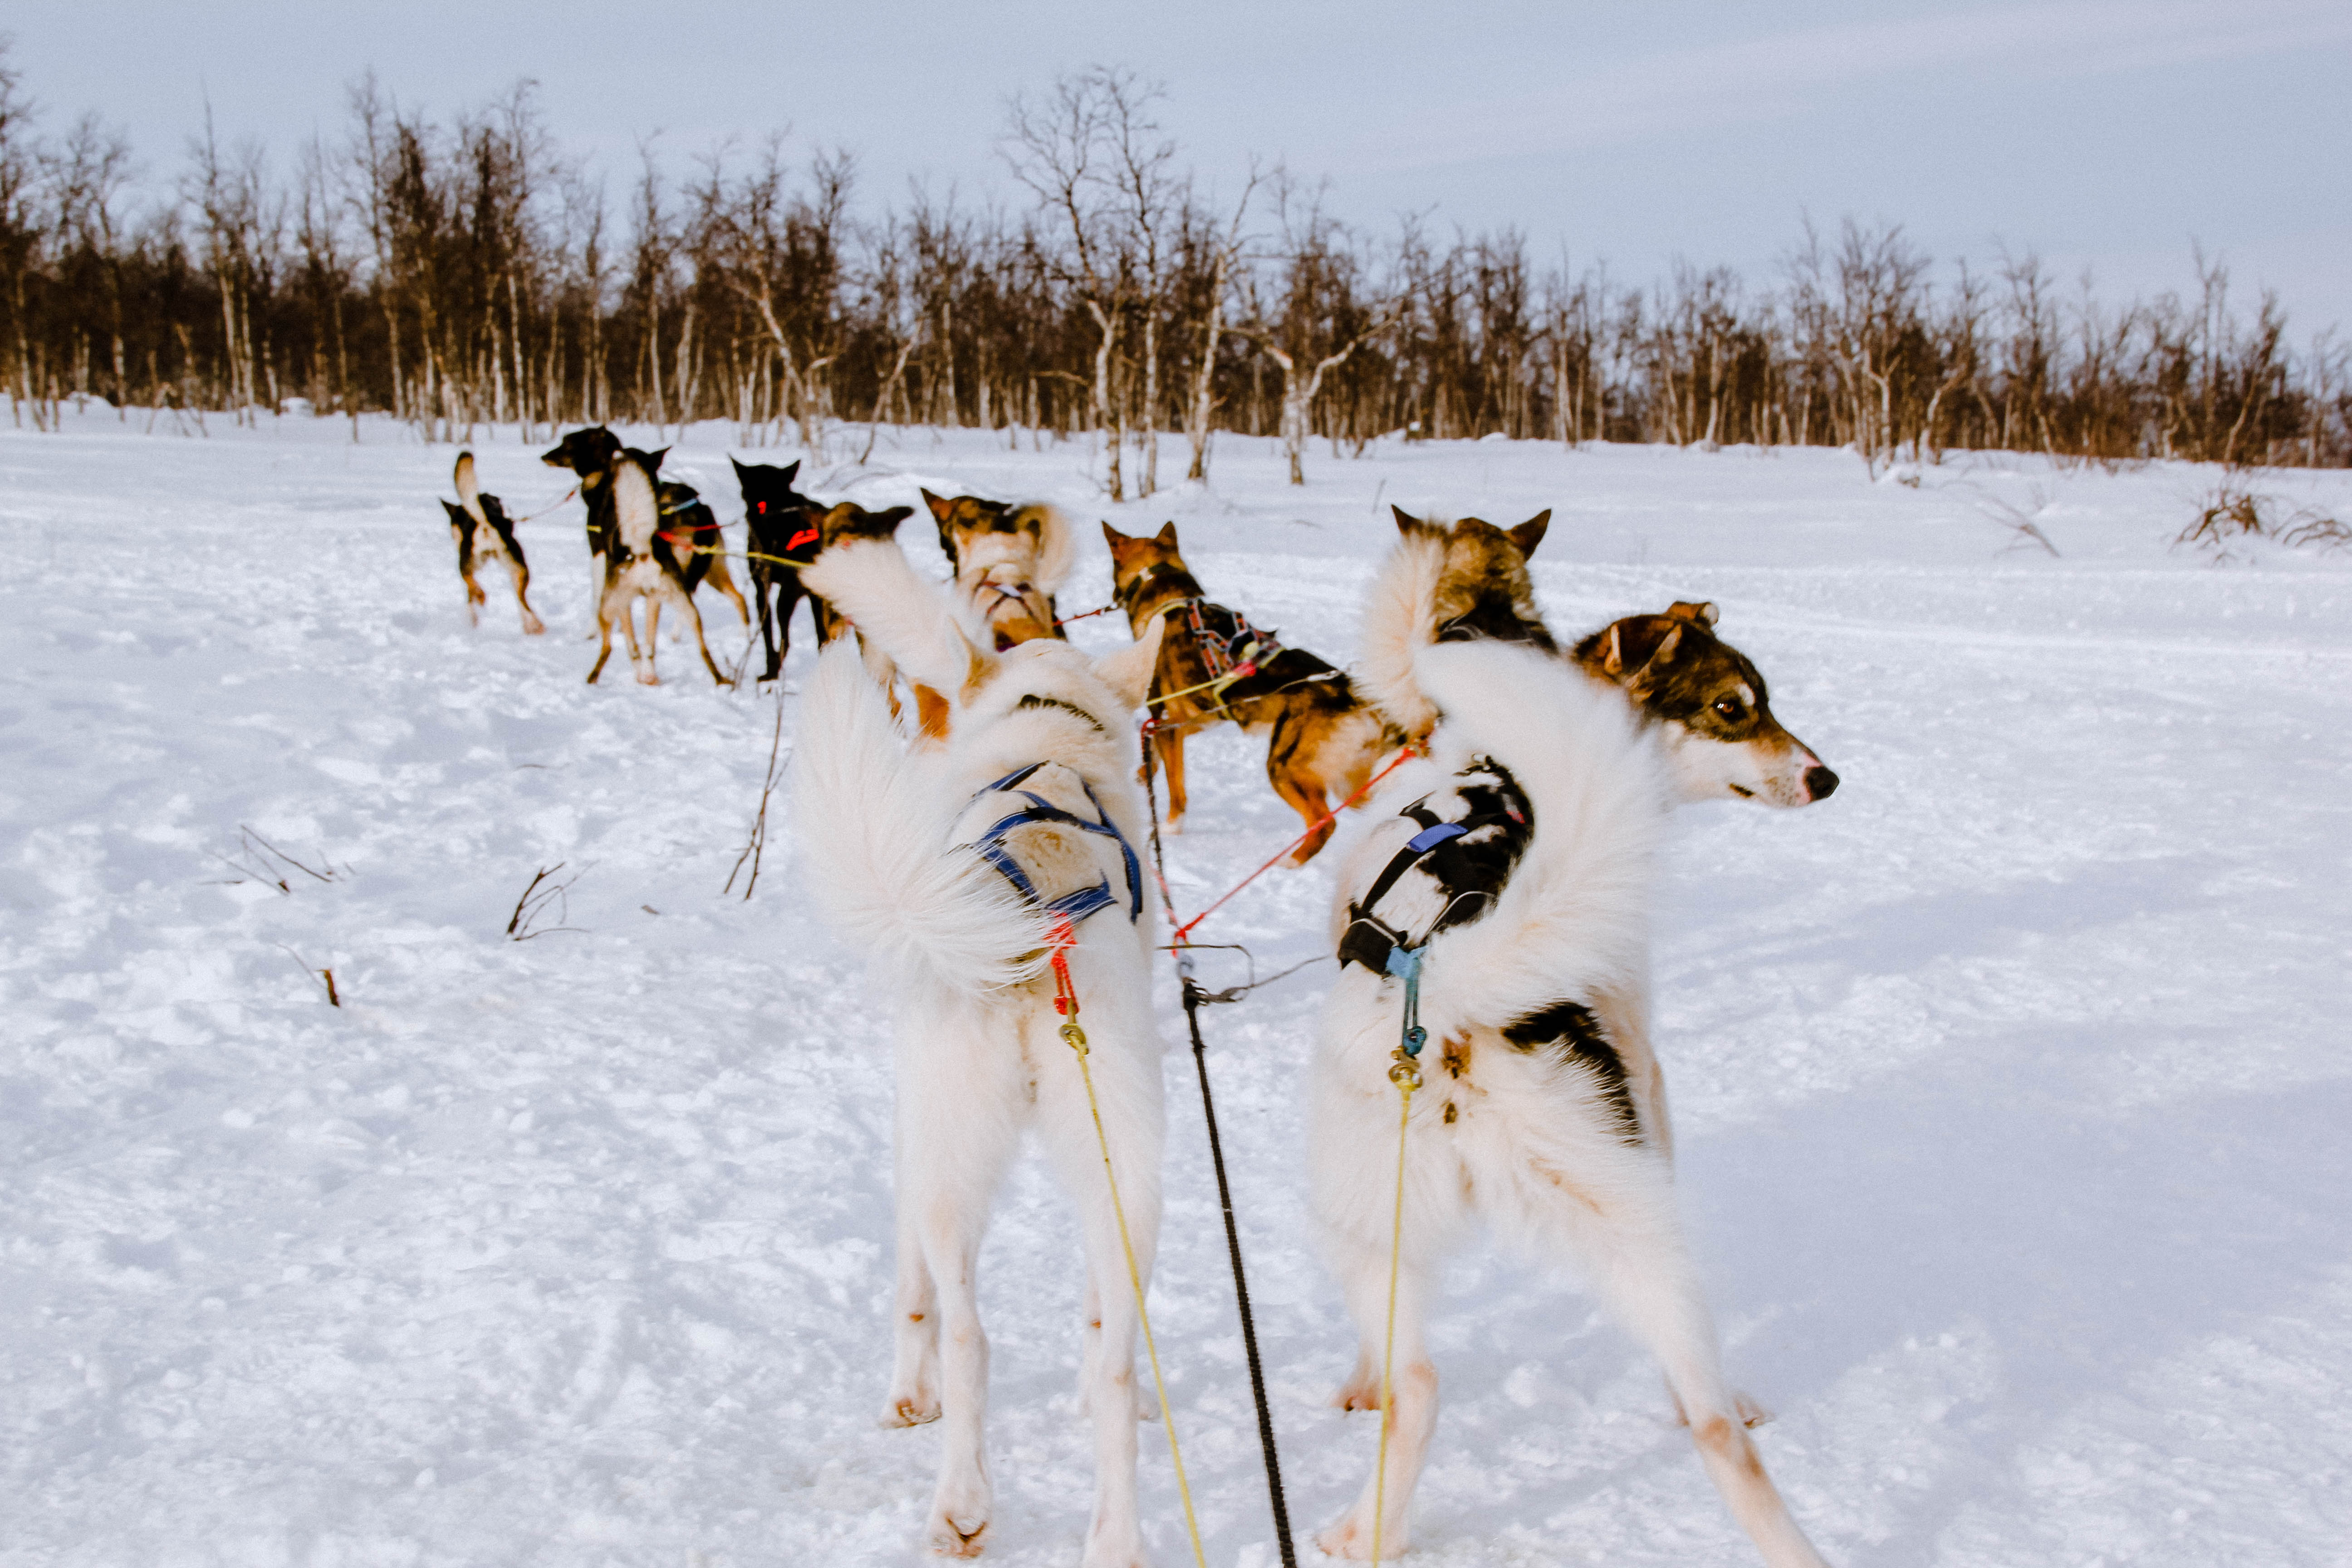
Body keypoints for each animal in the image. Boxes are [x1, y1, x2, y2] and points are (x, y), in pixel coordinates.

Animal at [442, 451, 541, 634]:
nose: (453, 537)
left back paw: (480, 599)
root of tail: (486, 521)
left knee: (472, 585)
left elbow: (470, 592)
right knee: (522, 600)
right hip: (519, 570)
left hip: (465, 563)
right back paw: (534, 626)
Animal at [795, 536, 1171, 1561]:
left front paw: (904, 1395)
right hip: (1123, 1173)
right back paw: (1110, 1531)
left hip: (952, 1157)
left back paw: (960, 1502)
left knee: (967, 1335)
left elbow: (909, 1290)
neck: (1050, 745)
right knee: (1112, 1357)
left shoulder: (910, 1135)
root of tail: (1031, 929)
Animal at [1105, 526, 1411, 870]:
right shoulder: (1190, 720)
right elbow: (1158, 756)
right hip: (1348, 782)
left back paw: (1291, 862)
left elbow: (1176, 788)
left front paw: (1169, 828)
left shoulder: (1167, 723)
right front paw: (1142, 774)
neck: (1169, 601)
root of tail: (1353, 695)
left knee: (1325, 823)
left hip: (1283, 768)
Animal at [1308, 512, 1834, 1561]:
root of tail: (1453, 990)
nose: (1825, 776)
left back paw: (1362, 1527)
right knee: (1709, 1427)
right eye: (1733, 707)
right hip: (1619, 1219)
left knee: (1422, 1388)